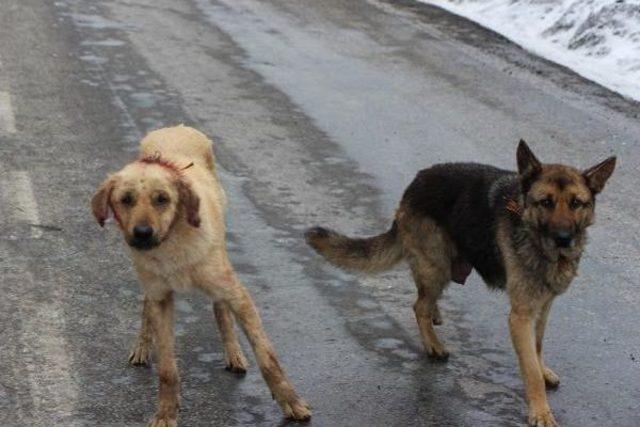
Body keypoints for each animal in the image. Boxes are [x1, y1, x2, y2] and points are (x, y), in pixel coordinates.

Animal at [90, 125, 310, 426]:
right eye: (126, 200)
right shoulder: (161, 297)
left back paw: (233, 353)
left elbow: (268, 358)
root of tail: (176, 127)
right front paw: (166, 413)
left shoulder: (238, 295)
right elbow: (167, 369)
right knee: (146, 307)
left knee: (220, 308)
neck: (173, 242)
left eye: (162, 199)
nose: (143, 234)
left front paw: (291, 402)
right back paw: (143, 346)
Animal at [304, 141, 616, 427]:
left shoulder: (543, 306)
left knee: (423, 297)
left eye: (576, 203)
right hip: (437, 266)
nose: (564, 239)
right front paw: (540, 411)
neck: (532, 234)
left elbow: (537, 347)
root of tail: (414, 184)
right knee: (418, 305)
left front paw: (543, 370)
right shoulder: (521, 316)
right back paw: (432, 344)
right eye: (546, 202)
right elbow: (530, 370)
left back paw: (436, 316)